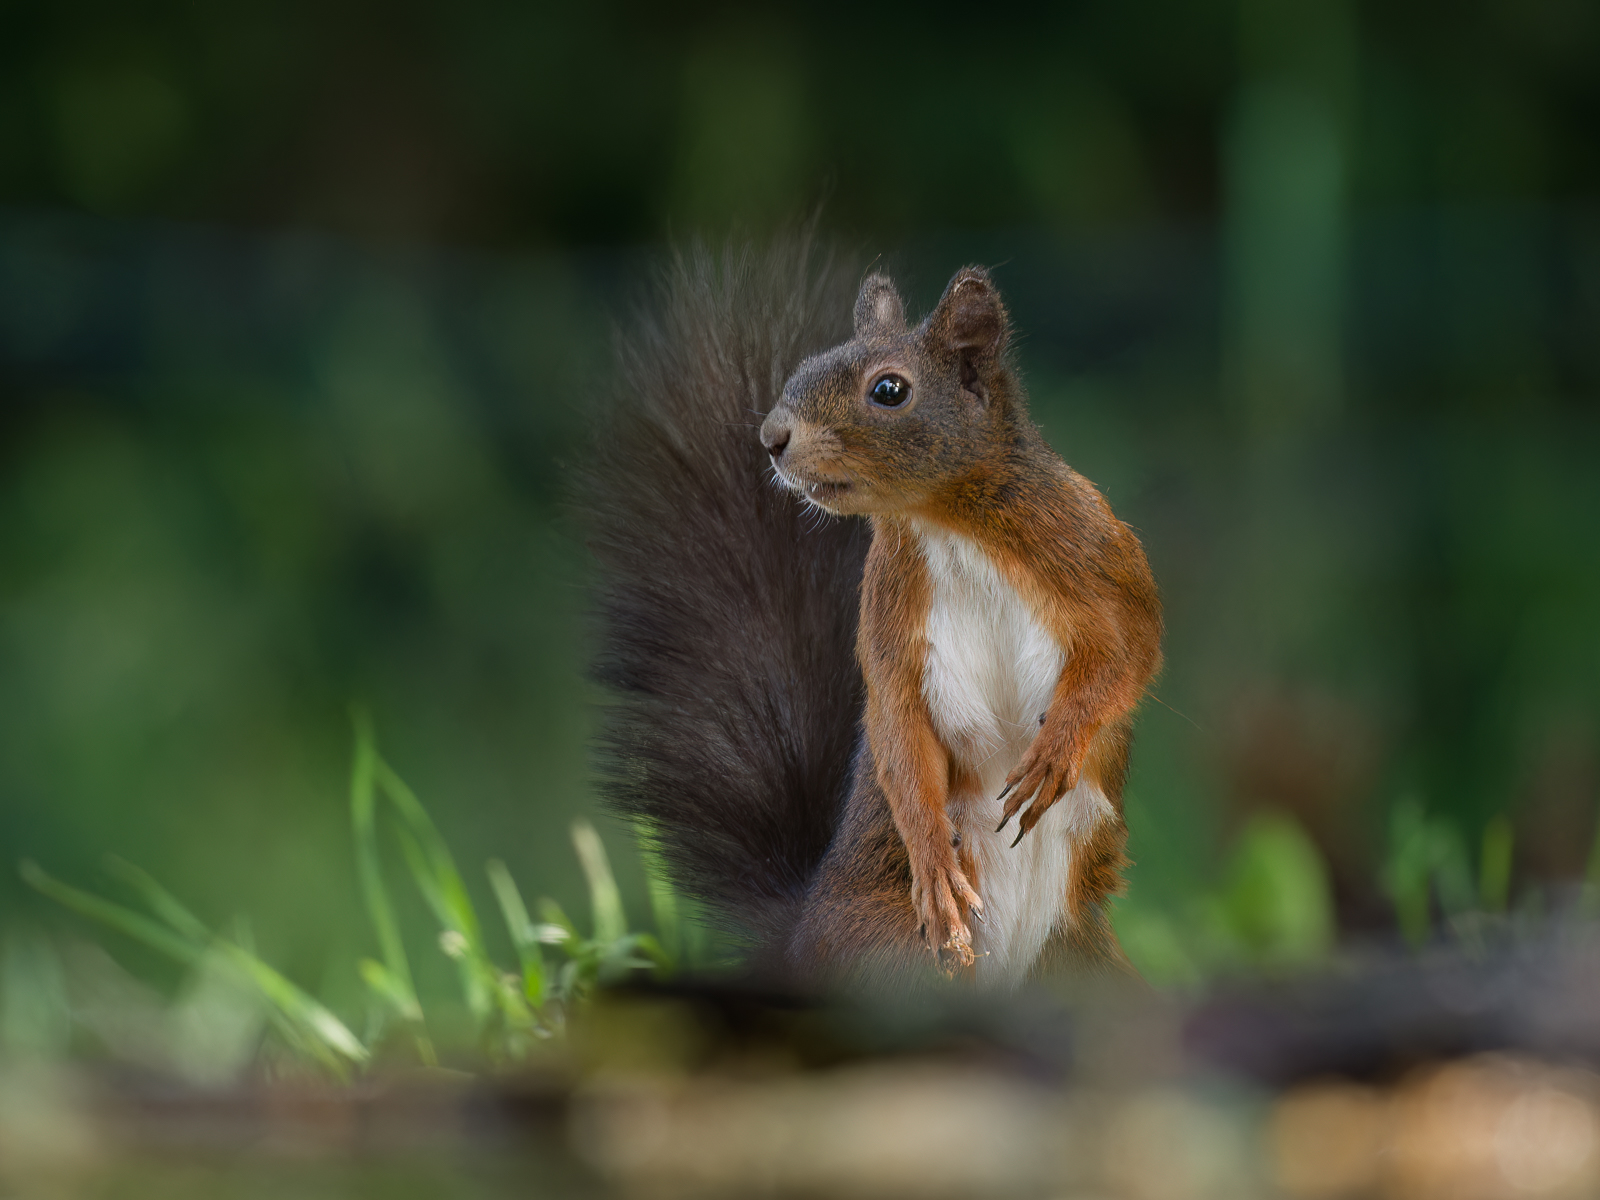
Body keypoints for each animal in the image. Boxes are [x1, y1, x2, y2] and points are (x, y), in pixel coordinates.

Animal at [587, 235, 1162, 990]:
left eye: (890, 390)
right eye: (802, 369)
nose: (771, 437)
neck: (945, 520)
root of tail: (797, 945)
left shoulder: (1095, 553)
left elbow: (1128, 653)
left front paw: (1057, 748)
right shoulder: (890, 619)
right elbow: (898, 726)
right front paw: (933, 861)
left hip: (1082, 965)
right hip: (894, 952)